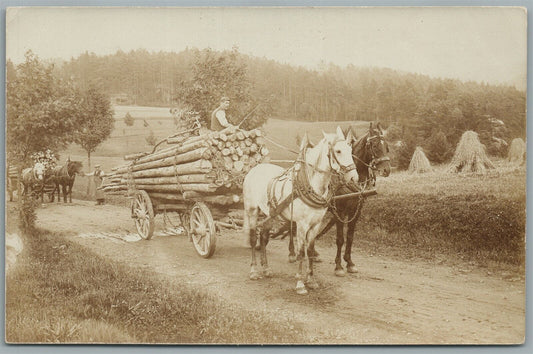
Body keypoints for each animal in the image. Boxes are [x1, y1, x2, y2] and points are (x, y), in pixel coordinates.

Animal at [242, 127, 358, 296]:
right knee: (253, 238)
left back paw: (267, 269)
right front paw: (300, 284)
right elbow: (301, 252)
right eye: (338, 151)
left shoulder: (316, 225)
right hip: (251, 210)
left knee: (263, 238)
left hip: (271, 213)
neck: (312, 185)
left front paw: (311, 280)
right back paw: (254, 271)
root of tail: (255, 168)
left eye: (350, 150)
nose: (354, 178)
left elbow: (310, 250)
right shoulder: (302, 225)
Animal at [284, 123, 392, 276]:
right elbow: (340, 239)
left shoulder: (355, 212)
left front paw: (350, 262)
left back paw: (314, 253)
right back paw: (292, 252)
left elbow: (350, 237)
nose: (386, 170)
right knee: (291, 225)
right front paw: (339, 266)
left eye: (387, 146)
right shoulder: (340, 211)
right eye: (375, 145)